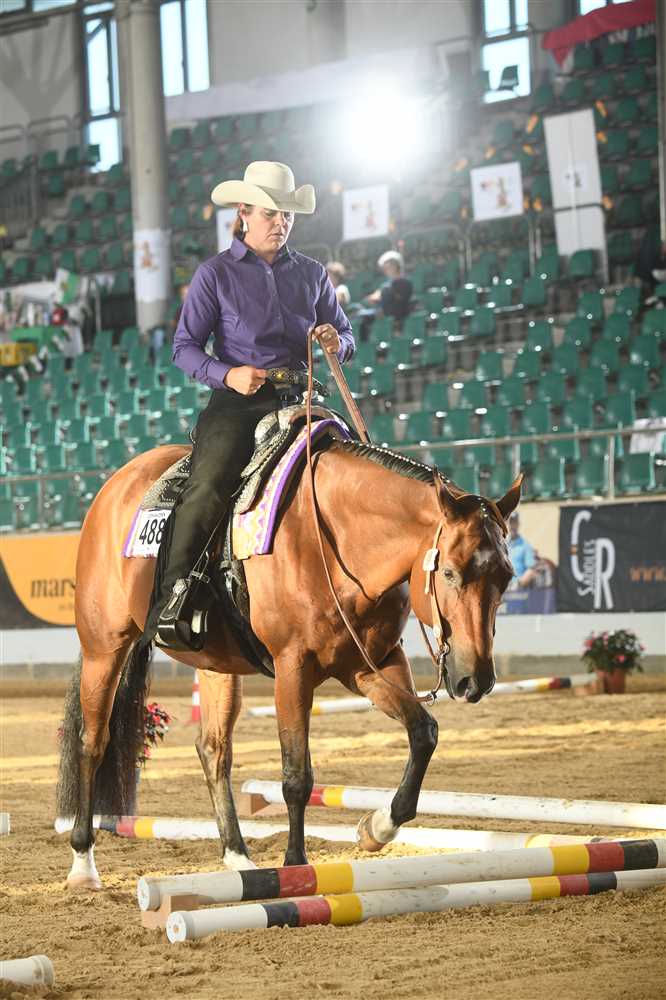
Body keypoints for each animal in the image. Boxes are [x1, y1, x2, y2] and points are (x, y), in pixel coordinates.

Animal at [56, 431, 521, 889]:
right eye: (450, 573)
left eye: (506, 576)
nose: (476, 680)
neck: (330, 539)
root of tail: (116, 484)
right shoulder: (292, 668)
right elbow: (297, 776)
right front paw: (296, 866)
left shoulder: (370, 665)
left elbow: (424, 732)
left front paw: (376, 829)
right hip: (104, 648)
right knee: (92, 741)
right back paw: (83, 862)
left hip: (216, 665)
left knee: (213, 750)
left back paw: (238, 856)